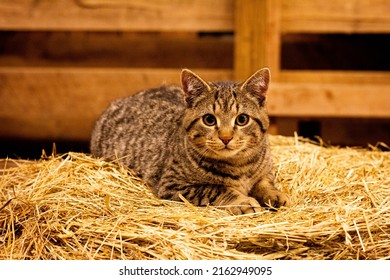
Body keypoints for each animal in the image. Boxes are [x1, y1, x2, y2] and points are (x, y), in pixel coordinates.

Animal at [90, 68, 290, 214]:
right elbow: (217, 188)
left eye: (242, 119)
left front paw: (274, 194)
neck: (239, 165)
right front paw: (243, 201)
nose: (226, 137)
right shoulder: (173, 184)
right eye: (209, 120)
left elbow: (264, 183)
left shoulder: (266, 171)